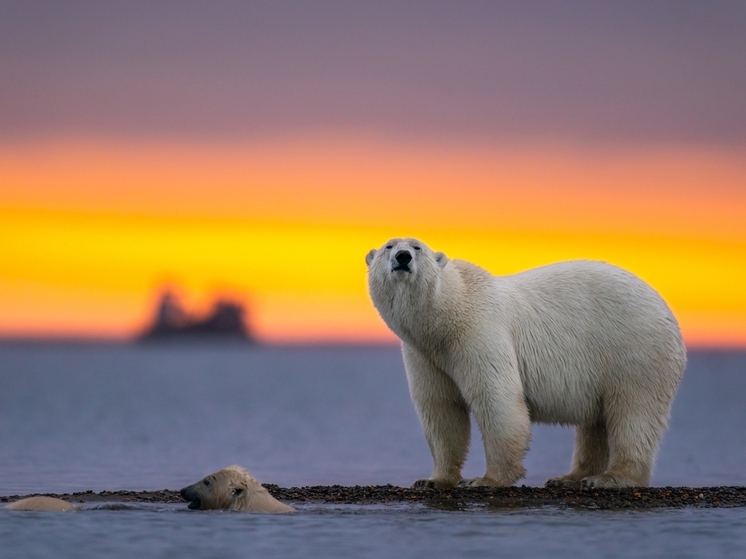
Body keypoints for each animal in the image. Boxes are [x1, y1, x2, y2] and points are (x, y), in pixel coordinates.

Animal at [364, 238, 684, 488]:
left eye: (417, 247)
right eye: (389, 246)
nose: (402, 257)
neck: (447, 316)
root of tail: (666, 309)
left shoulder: (480, 332)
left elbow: (496, 398)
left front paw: (486, 480)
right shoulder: (425, 355)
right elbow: (441, 408)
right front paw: (433, 480)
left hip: (634, 349)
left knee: (633, 412)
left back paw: (610, 478)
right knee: (596, 422)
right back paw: (570, 477)